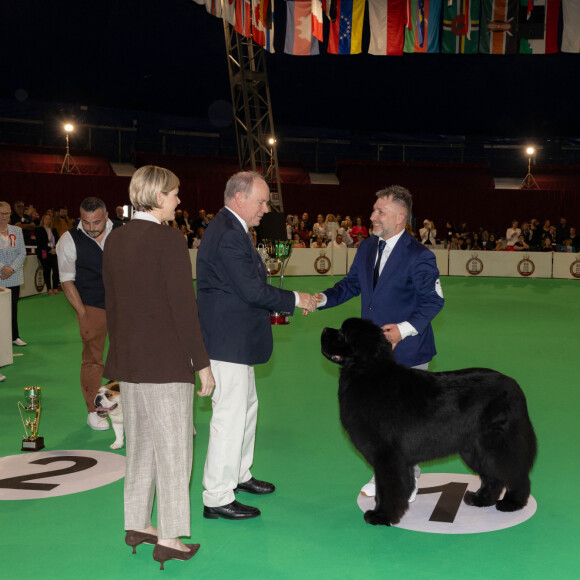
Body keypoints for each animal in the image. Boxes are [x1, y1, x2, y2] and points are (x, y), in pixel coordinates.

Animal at [320, 318, 536, 524]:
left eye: (342, 332)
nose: (324, 329)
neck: (368, 373)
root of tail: (515, 386)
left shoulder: (387, 455)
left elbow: (388, 488)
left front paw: (382, 516)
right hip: (475, 449)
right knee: (493, 477)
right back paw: (480, 499)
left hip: (496, 444)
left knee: (514, 473)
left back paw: (511, 503)